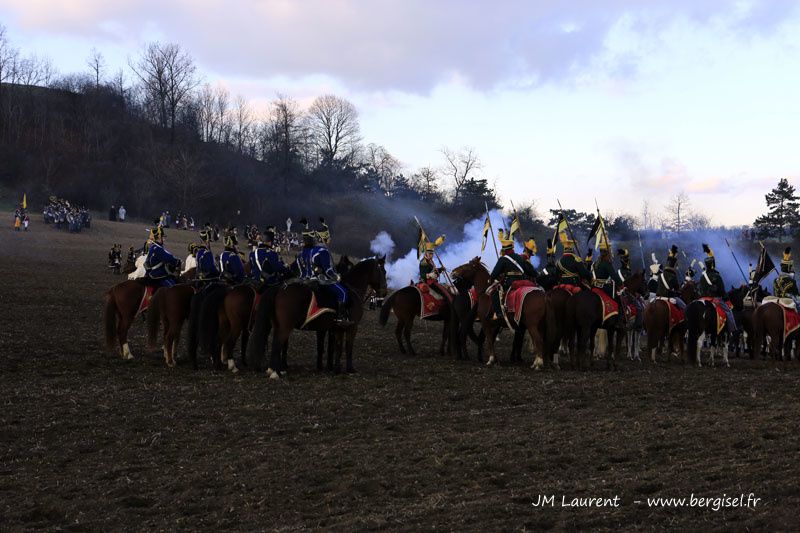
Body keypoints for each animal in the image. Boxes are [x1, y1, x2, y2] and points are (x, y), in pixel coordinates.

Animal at [250, 256, 388, 376]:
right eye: (383, 271)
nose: (384, 292)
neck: (353, 290)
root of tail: (280, 287)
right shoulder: (352, 327)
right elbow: (348, 347)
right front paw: (350, 369)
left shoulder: (337, 328)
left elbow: (337, 347)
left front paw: (336, 369)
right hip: (285, 327)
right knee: (277, 343)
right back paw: (275, 372)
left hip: (277, 325)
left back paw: (275, 369)